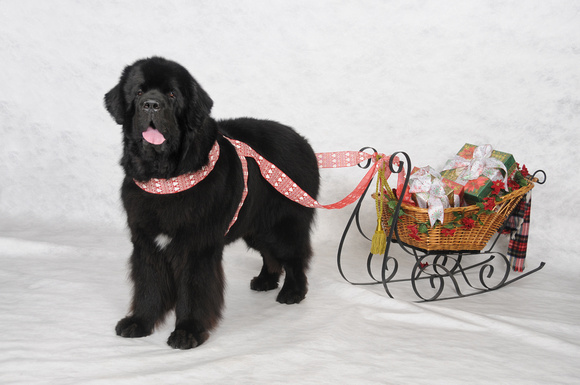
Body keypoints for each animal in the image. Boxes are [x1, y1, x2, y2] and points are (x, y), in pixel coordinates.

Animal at [105, 57, 322, 348]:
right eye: (138, 92)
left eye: (172, 94)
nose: (151, 104)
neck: (165, 177)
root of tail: (304, 143)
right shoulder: (146, 242)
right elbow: (148, 285)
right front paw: (139, 322)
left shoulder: (197, 245)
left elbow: (195, 289)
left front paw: (188, 331)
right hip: (254, 227)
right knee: (270, 255)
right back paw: (265, 280)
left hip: (281, 226)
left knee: (294, 256)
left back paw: (293, 292)